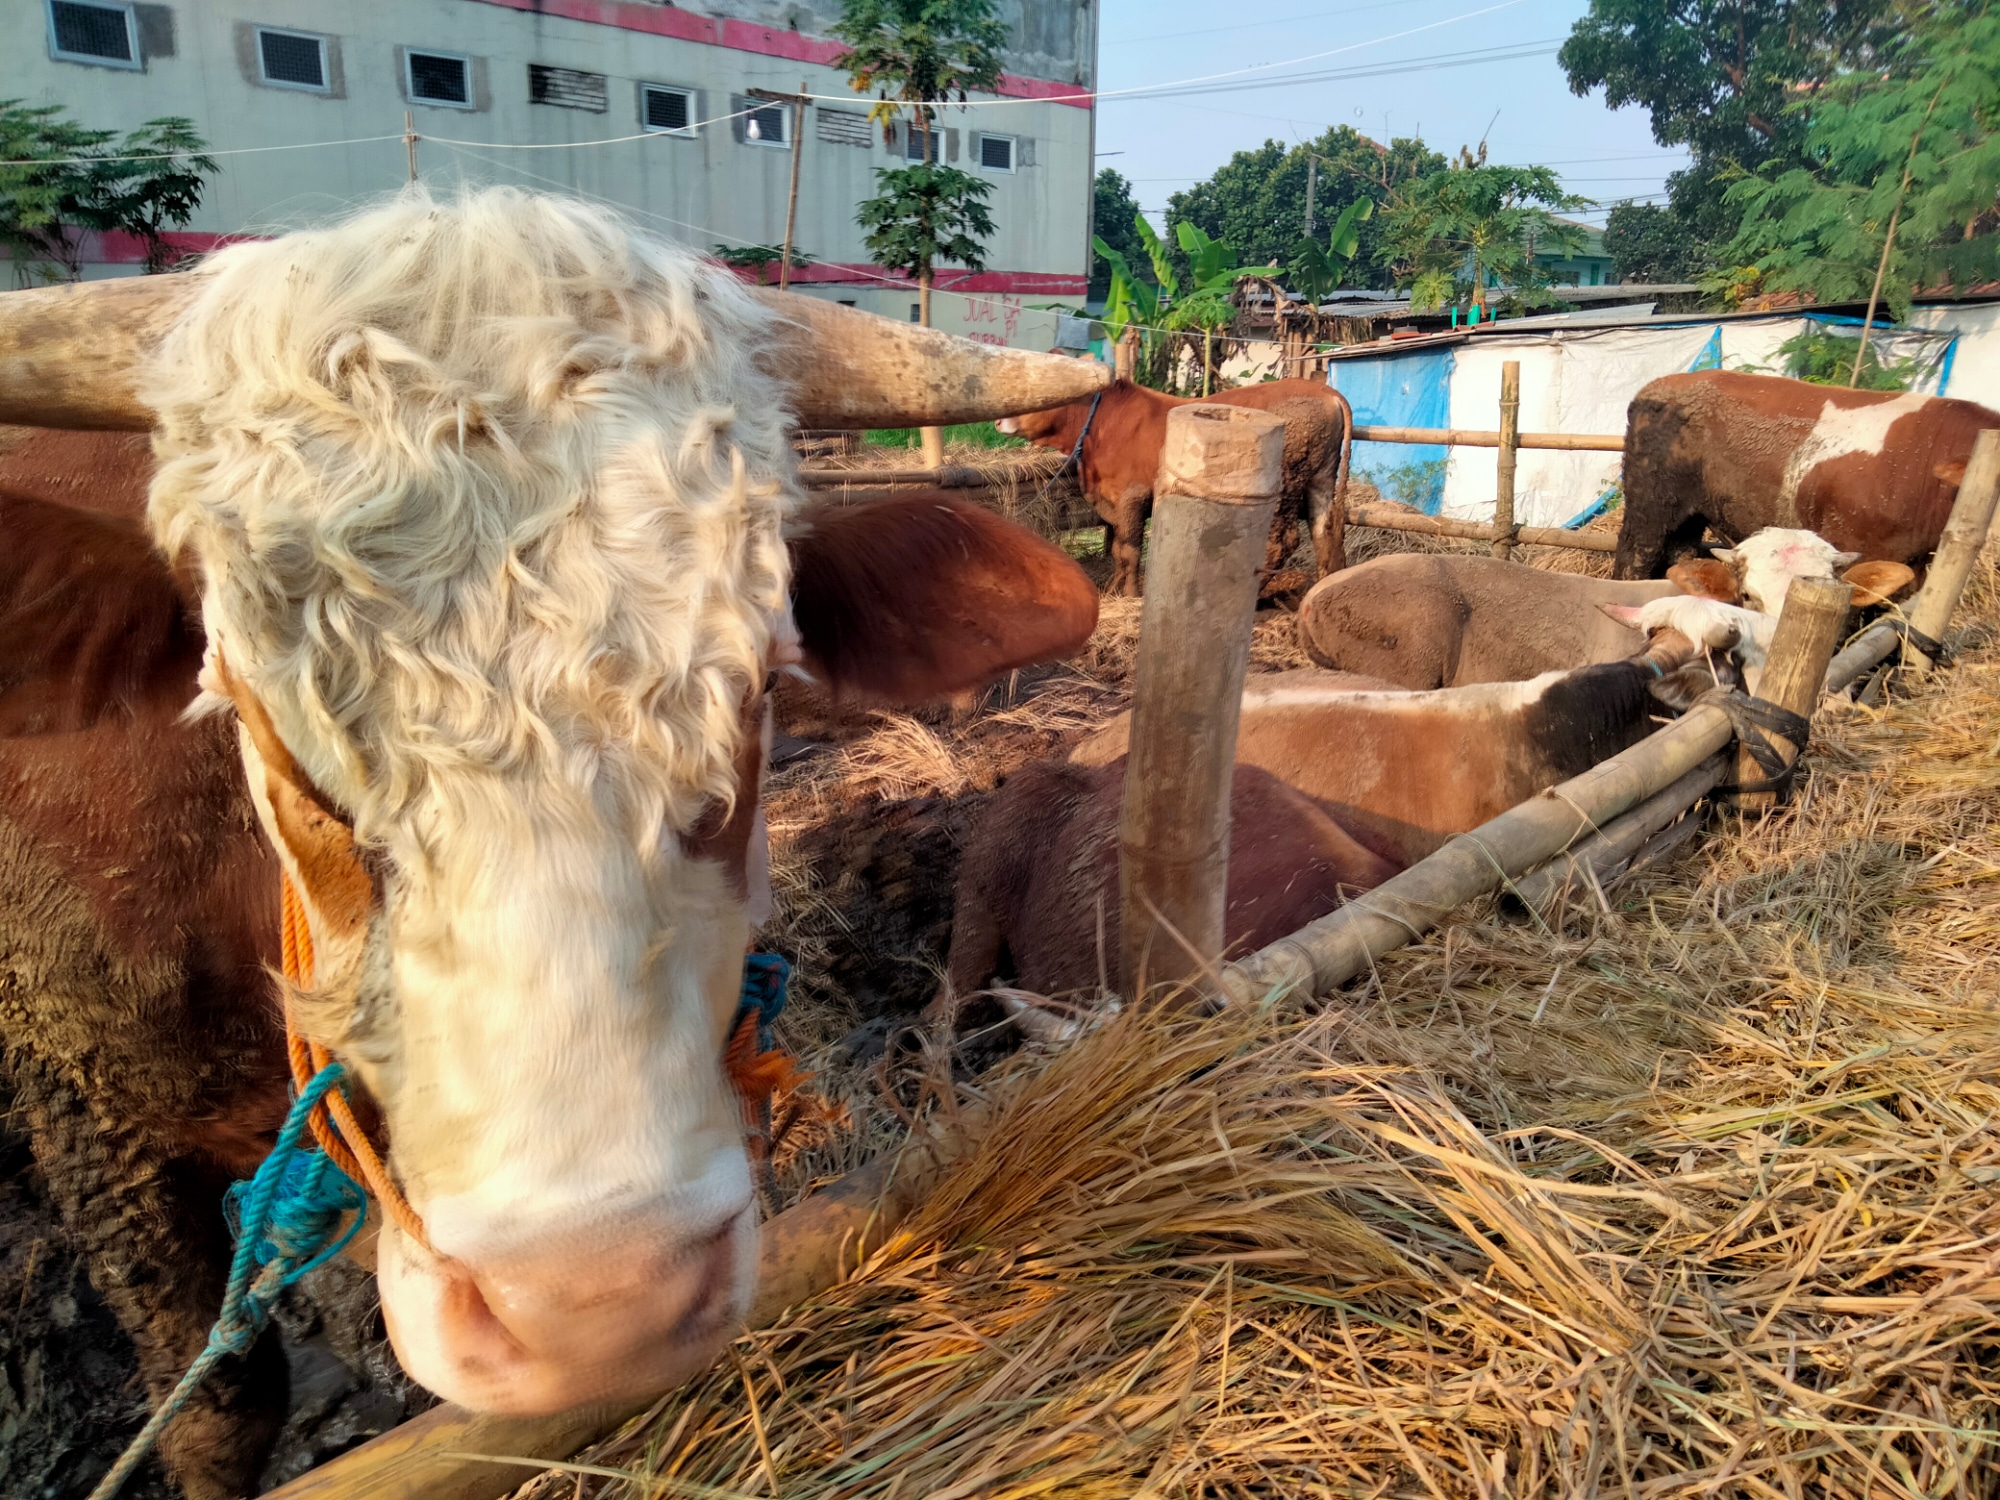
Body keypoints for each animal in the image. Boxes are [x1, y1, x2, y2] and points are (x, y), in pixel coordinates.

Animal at [992, 376, 1352, 600]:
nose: (997, 419)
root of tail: (1327, 393)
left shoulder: (1133, 495)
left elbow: (1129, 549)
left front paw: (1130, 594)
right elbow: (1119, 550)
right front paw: (1112, 588)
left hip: (1286, 484)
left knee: (1284, 540)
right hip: (1320, 478)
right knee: (1325, 531)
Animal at [1608, 370, 2000, 580]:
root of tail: (1656, 387)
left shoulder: (1917, 564)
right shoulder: (1855, 548)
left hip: (1691, 515)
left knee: (1681, 553)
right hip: (1650, 508)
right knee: (1635, 558)